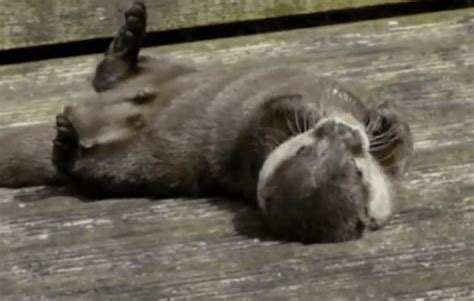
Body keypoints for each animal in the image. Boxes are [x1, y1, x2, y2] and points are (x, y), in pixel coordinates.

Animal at [0, 2, 412, 243]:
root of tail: (91, 116)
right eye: (305, 147)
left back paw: (66, 144)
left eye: (355, 169)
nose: (340, 129)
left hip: (130, 163)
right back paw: (131, 31)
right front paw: (327, 111)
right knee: (112, 74)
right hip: (169, 72)